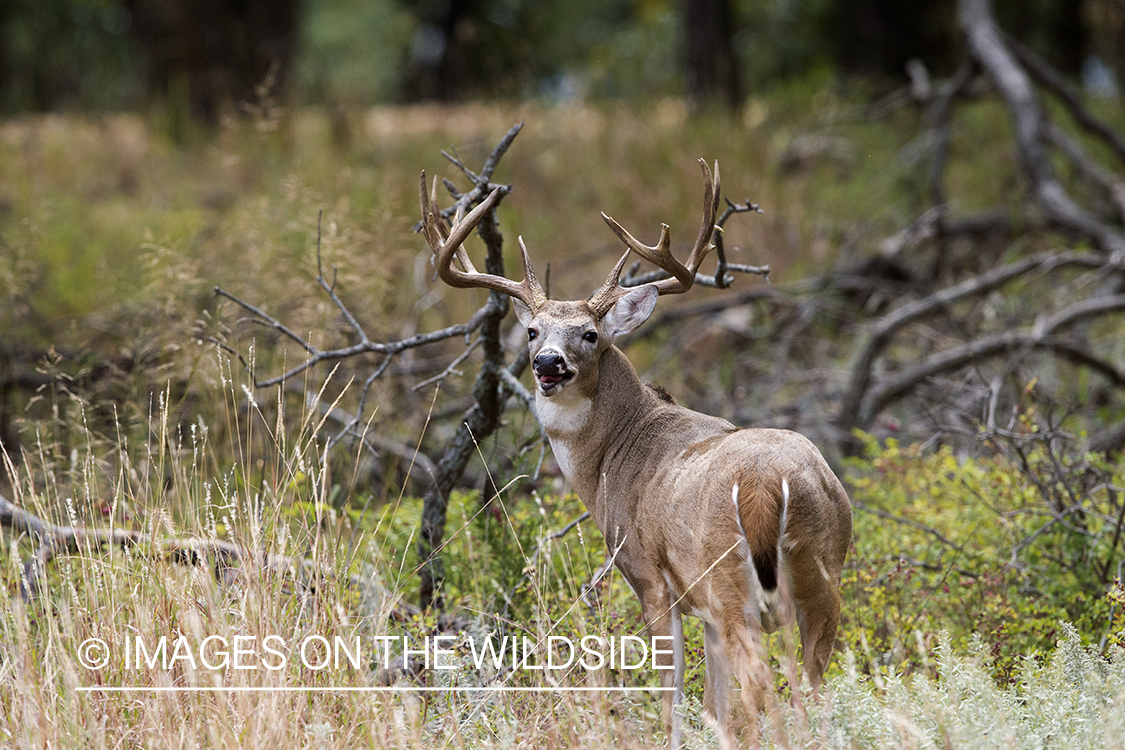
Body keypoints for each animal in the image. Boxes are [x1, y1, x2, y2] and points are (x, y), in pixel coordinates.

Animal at [420, 161, 850, 746]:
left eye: (589, 333)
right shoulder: (702, 608)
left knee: (764, 689)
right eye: (531, 330)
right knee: (814, 691)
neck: (613, 456)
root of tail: (768, 485)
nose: (548, 363)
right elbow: (713, 706)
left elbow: (674, 697)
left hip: (729, 581)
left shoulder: (648, 575)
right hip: (822, 576)